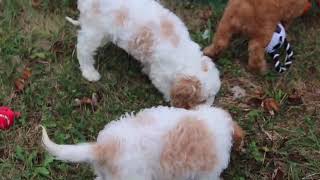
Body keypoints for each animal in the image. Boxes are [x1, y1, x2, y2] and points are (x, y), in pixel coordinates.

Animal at [69, 0, 221, 108]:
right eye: (202, 100)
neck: (184, 53)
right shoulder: (160, 74)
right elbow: (167, 89)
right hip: (95, 31)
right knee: (83, 48)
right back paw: (89, 72)